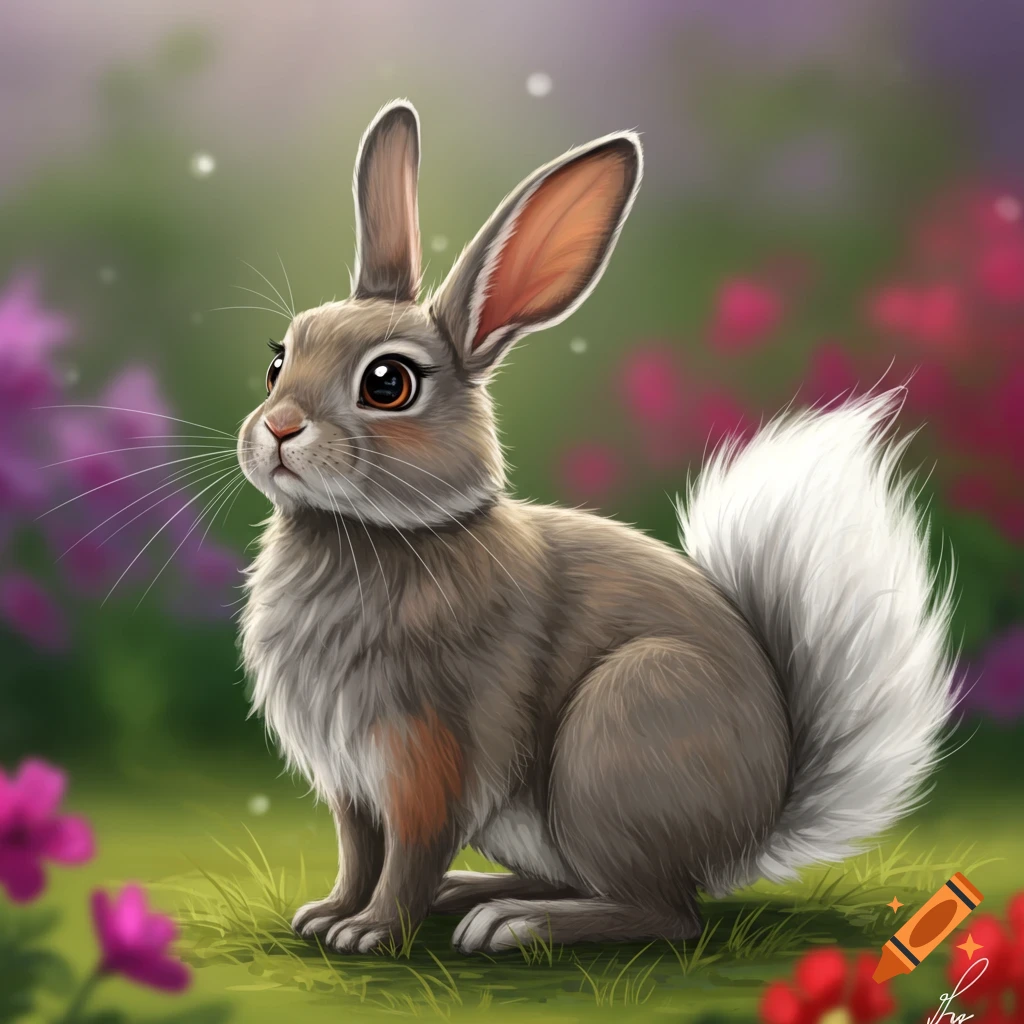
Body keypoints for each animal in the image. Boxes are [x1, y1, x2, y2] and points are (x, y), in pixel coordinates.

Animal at [237, 99, 957, 955]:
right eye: (278, 359)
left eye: (388, 383)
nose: (277, 429)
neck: (378, 531)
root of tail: (755, 829)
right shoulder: (350, 779)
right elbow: (356, 849)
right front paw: (326, 915)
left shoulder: (431, 755)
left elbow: (408, 851)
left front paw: (371, 932)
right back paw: (476, 893)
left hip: (616, 735)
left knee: (666, 913)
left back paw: (513, 923)